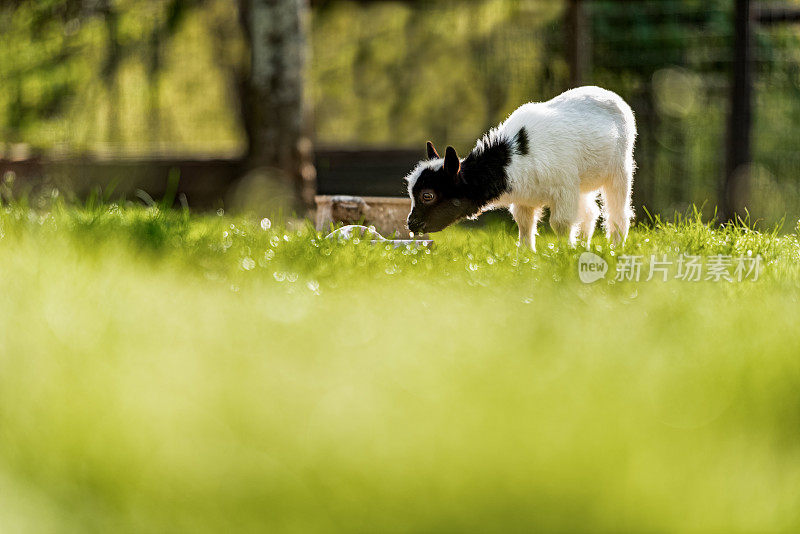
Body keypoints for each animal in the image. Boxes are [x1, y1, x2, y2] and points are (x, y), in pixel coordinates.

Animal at [406, 85, 636, 249]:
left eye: (428, 195)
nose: (411, 224)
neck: (512, 158)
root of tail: (609, 95)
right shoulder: (525, 199)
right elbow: (525, 225)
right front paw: (526, 258)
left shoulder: (564, 188)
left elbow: (561, 223)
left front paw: (565, 255)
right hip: (583, 183)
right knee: (590, 212)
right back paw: (583, 246)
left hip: (620, 168)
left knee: (617, 213)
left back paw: (615, 248)